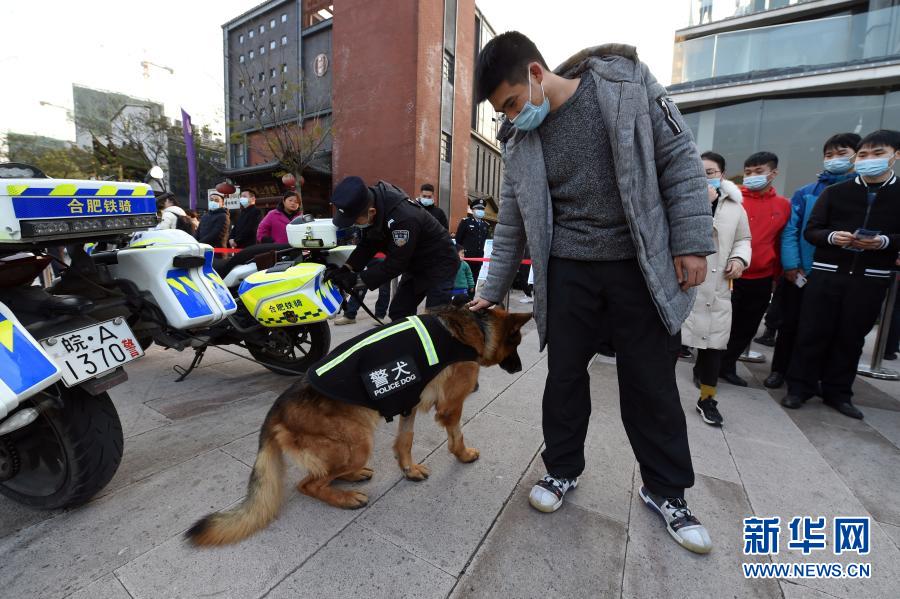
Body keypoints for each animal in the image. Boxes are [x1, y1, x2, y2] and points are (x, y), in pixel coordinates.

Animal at [185, 308, 532, 548]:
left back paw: (353, 477)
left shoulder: (407, 402)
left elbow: (405, 440)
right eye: (516, 343)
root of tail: (275, 412)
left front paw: (408, 469)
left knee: (325, 474)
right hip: (359, 440)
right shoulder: (450, 407)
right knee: (309, 484)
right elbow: (456, 432)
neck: (476, 327)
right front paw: (463, 454)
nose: (519, 368)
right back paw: (346, 497)